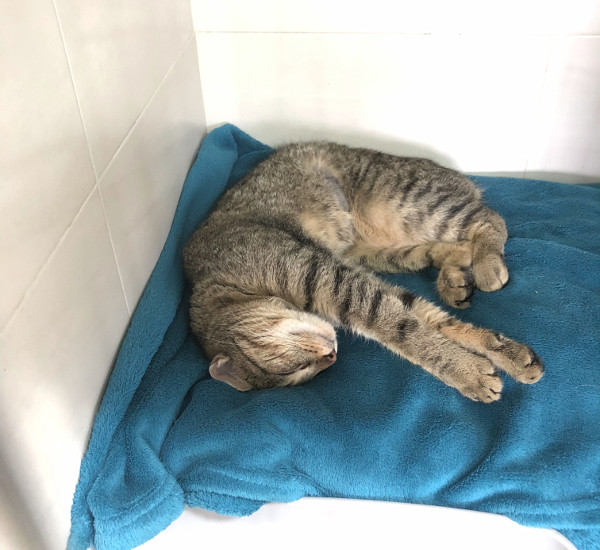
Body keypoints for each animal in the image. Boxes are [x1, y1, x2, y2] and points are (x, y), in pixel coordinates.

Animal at [183, 142, 544, 402]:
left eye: (295, 365)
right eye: (308, 372)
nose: (331, 356)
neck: (218, 282)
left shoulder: (332, 280)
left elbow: (405, 333)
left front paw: (466, 371)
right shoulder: (353, 276)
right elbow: (429, 318)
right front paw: (499, 355)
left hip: (410, 205)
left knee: (489, 218)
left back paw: (486, 265)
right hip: (382, 252)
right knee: (442, 249)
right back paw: (454, 278)